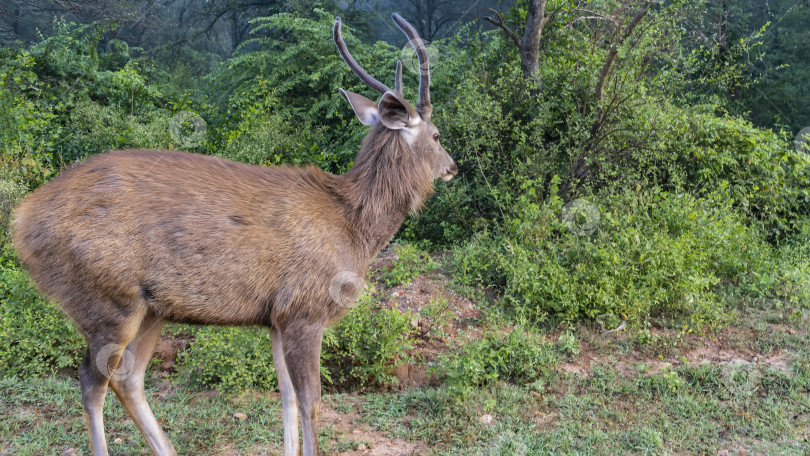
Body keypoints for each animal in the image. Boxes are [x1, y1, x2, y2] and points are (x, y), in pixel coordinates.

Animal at [11, 13, 454, 456]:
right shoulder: (306, 309)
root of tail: (22, 222)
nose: (452, 167)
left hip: (150, 308)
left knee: (128, 377)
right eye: (436, 135)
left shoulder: (278, 316)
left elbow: (286, 397)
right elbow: (311, 400)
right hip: (106, 299)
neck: (354, 229)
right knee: (92, 379)